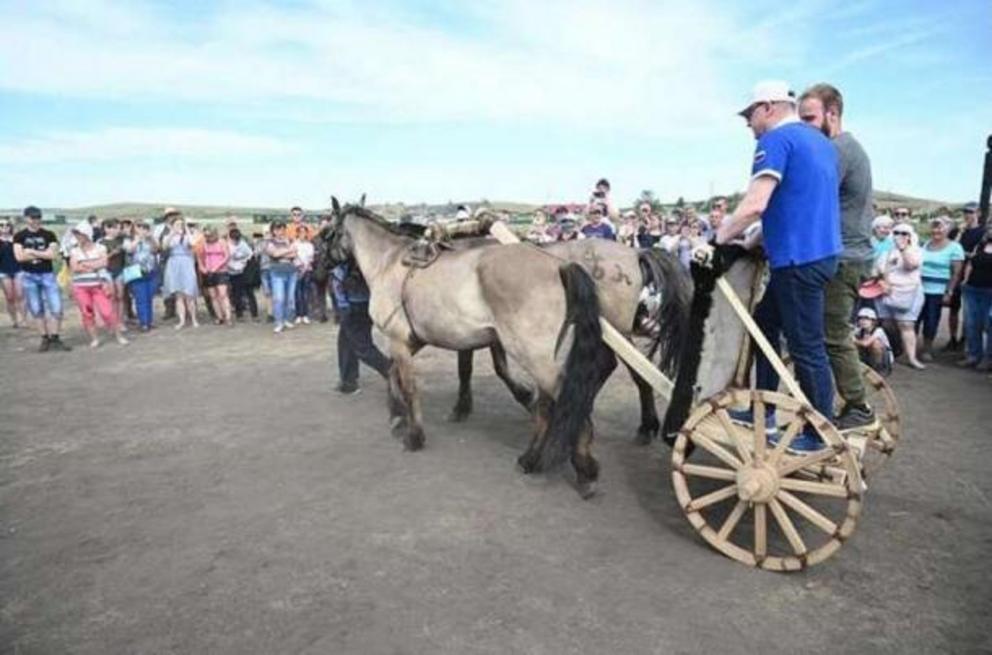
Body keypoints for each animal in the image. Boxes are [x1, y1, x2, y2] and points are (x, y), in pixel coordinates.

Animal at [322, 201, 684, 498]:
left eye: (325, 232)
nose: (320, 268)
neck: (393, 263)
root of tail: (559, 266)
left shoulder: (399, 339)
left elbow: (410, 384)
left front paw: (414, 433)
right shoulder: (429, 340)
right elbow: (400, 373)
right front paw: (400, 414)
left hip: (550, 347)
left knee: (577, 395)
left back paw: (582, 467)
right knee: (572, 394)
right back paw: (541, 456)